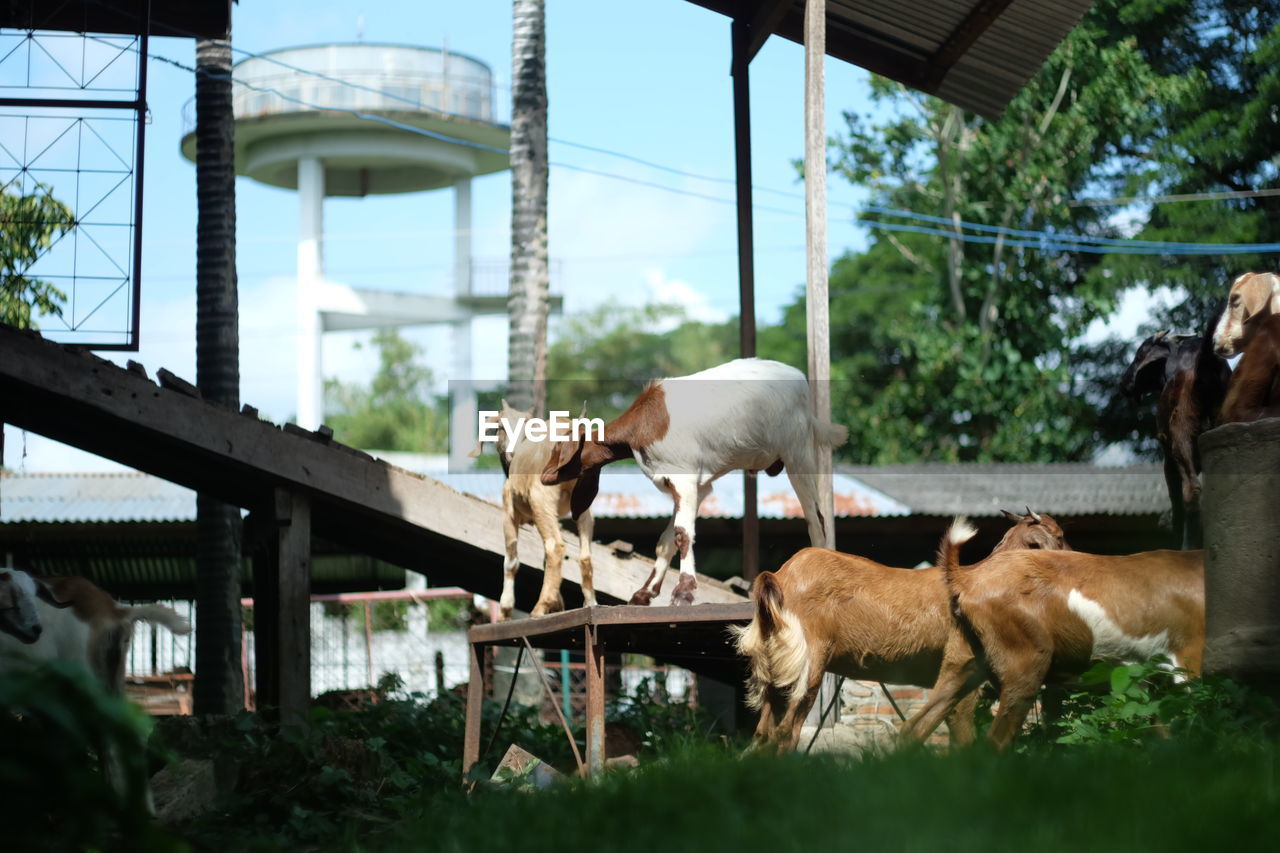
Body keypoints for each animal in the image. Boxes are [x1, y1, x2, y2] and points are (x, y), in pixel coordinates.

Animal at [476, 399, 599, 617]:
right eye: (501, 426)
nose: (510, 453)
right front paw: (558, 603)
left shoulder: (509, 511)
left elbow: (511, 560)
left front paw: (505, 609)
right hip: (584, 506)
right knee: (584, 555)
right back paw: (590, 603)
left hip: (541, 499)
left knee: (555, 546)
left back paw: (540, 607)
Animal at [540, 356, 849, 604]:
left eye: (559, 449)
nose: (544, 476)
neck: (644, 425)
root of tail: (800, 381)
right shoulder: (693, 486)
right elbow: (666, 539)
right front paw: (644, 593)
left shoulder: (685, 479)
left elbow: (683, 534)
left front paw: (684, 591)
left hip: (798, 452)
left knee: (816, 517)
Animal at [732, 504, 1070, 753]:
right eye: (1060, 535)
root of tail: (780, 576)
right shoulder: (967, 672)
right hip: (808, 666)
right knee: (787, 732)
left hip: (777, 670)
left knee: (763, 732)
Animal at [896, 517, 1203, 753]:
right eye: (1058, 536)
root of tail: (965, 578)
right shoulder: (1190, 658)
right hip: (1026, 664)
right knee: (996, 742)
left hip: (963, 663)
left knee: (915, 726)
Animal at [1121, 322, 1228, 548]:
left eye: (1138, 355)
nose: (1123, 383)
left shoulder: (1168, 457)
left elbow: (1175, 500)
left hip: (1180, 437)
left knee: (1191, 490)